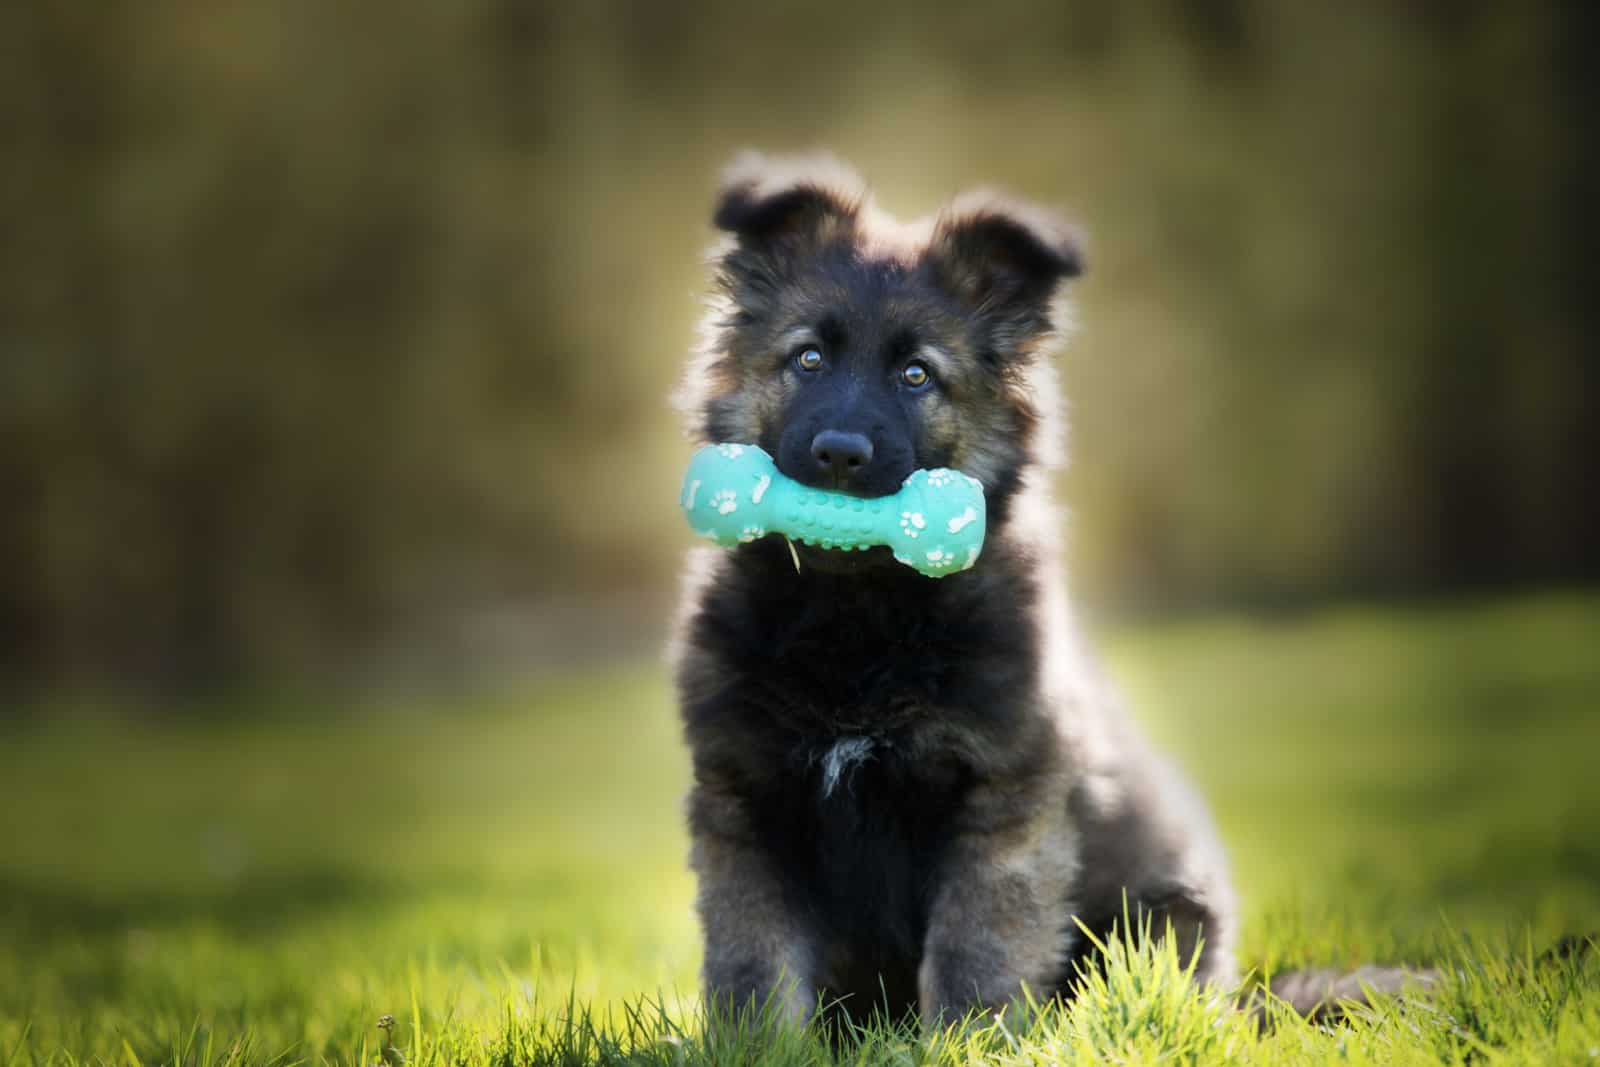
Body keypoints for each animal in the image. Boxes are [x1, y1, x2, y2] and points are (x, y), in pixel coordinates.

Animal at [675, 154, 1235, 1023]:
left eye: (916, 375)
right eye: (808, 359)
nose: (840, 453)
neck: (856, 617)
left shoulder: (1003, 802)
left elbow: (978, 950)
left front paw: (967, 1037)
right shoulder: (744, 800)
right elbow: (753, 966)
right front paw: (754, 1042)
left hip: (1167, 910)